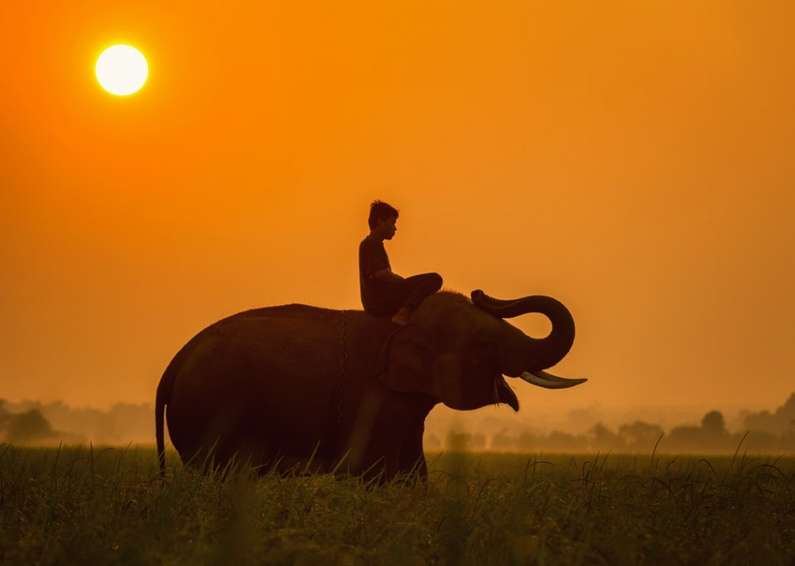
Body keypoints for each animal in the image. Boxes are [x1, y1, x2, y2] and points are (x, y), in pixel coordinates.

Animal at [155, 289, 586, 480]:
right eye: (483, 343)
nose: (481, 293)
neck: (404, 322)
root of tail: (174, 364)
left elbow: (413, 472)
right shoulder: (372, 397)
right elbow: (376, 471)